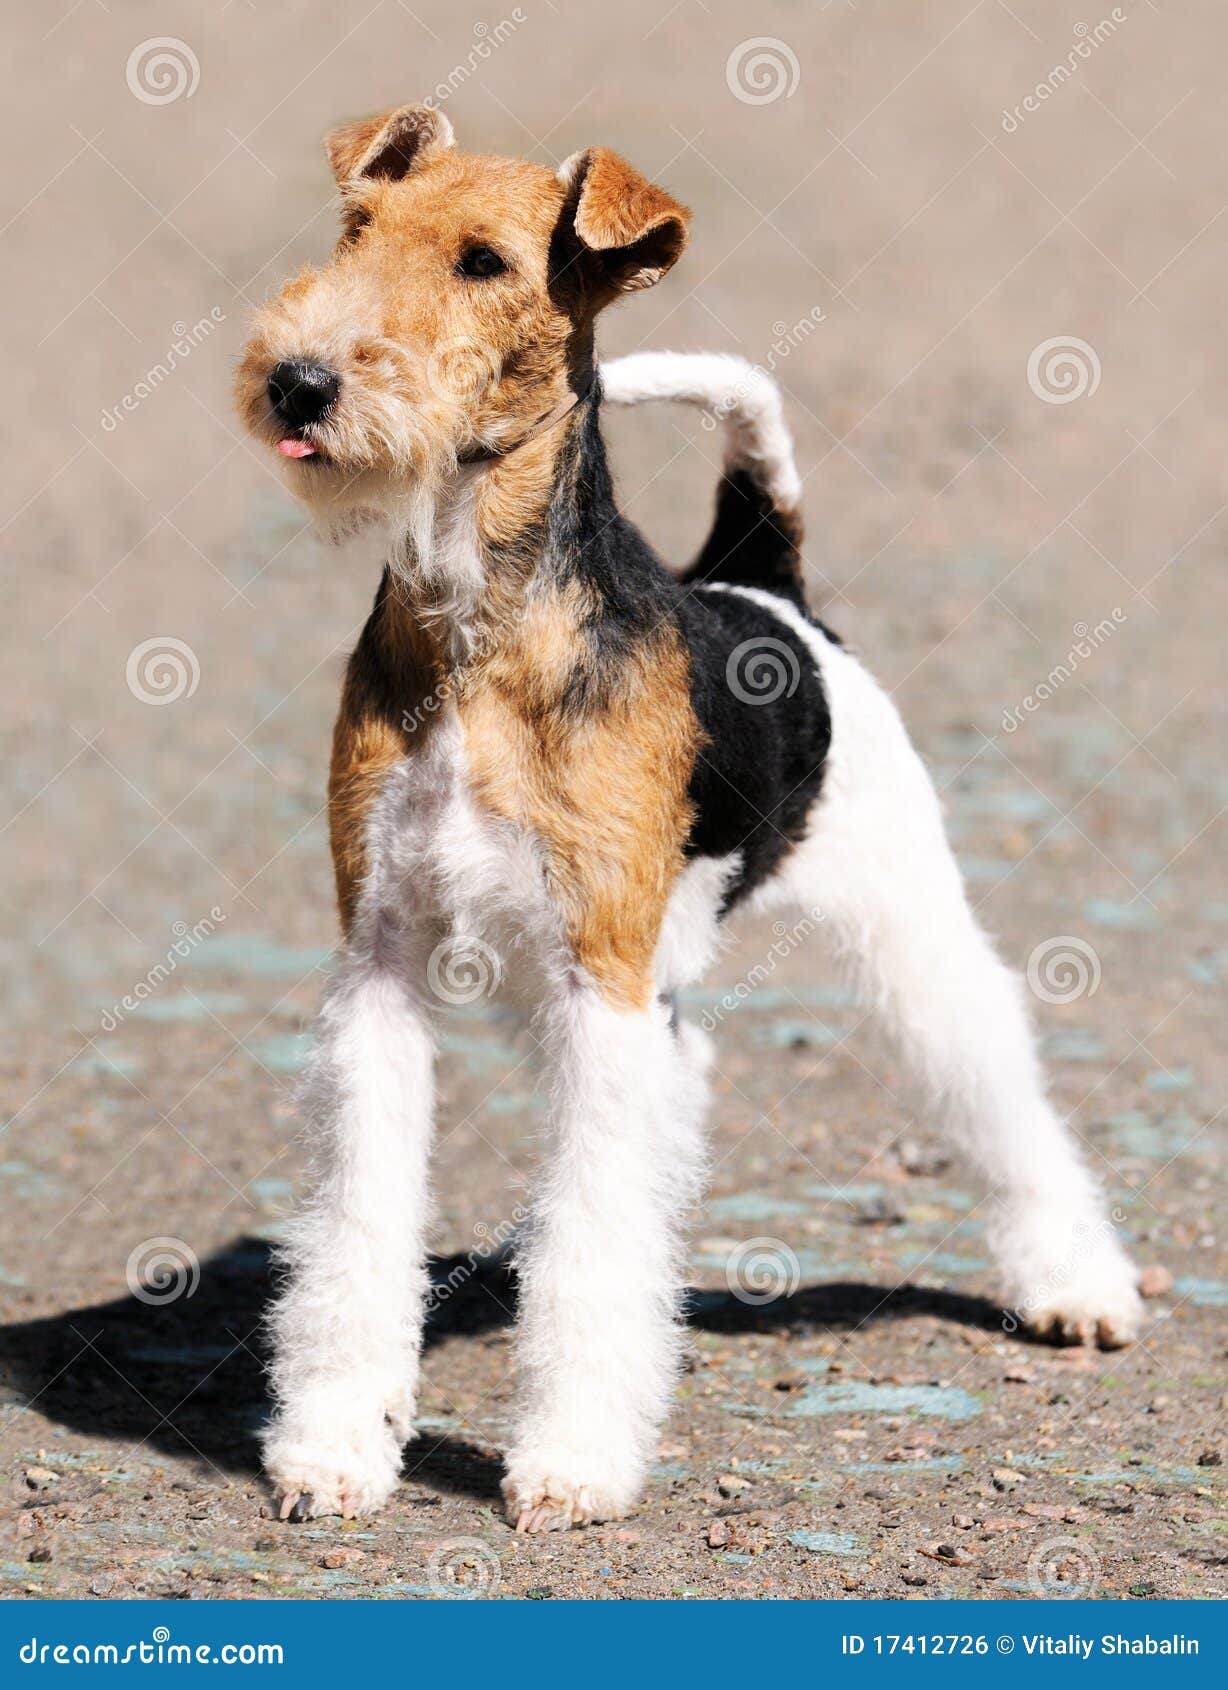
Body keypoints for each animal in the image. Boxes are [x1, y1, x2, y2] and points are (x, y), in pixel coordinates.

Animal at [238, 105, 1141, 1534]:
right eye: (355, 231)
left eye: (484, 262)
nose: (301, 382)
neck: (477, 628)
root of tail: (762, 582)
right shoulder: (381, 964)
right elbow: (359, 1221)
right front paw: (333, 1447)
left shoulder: (600, 971)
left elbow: (592, 1243)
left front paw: (569, 1463)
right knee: (686, 1078)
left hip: (900, 921)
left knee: (994, 1089)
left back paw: (1077, 1284)